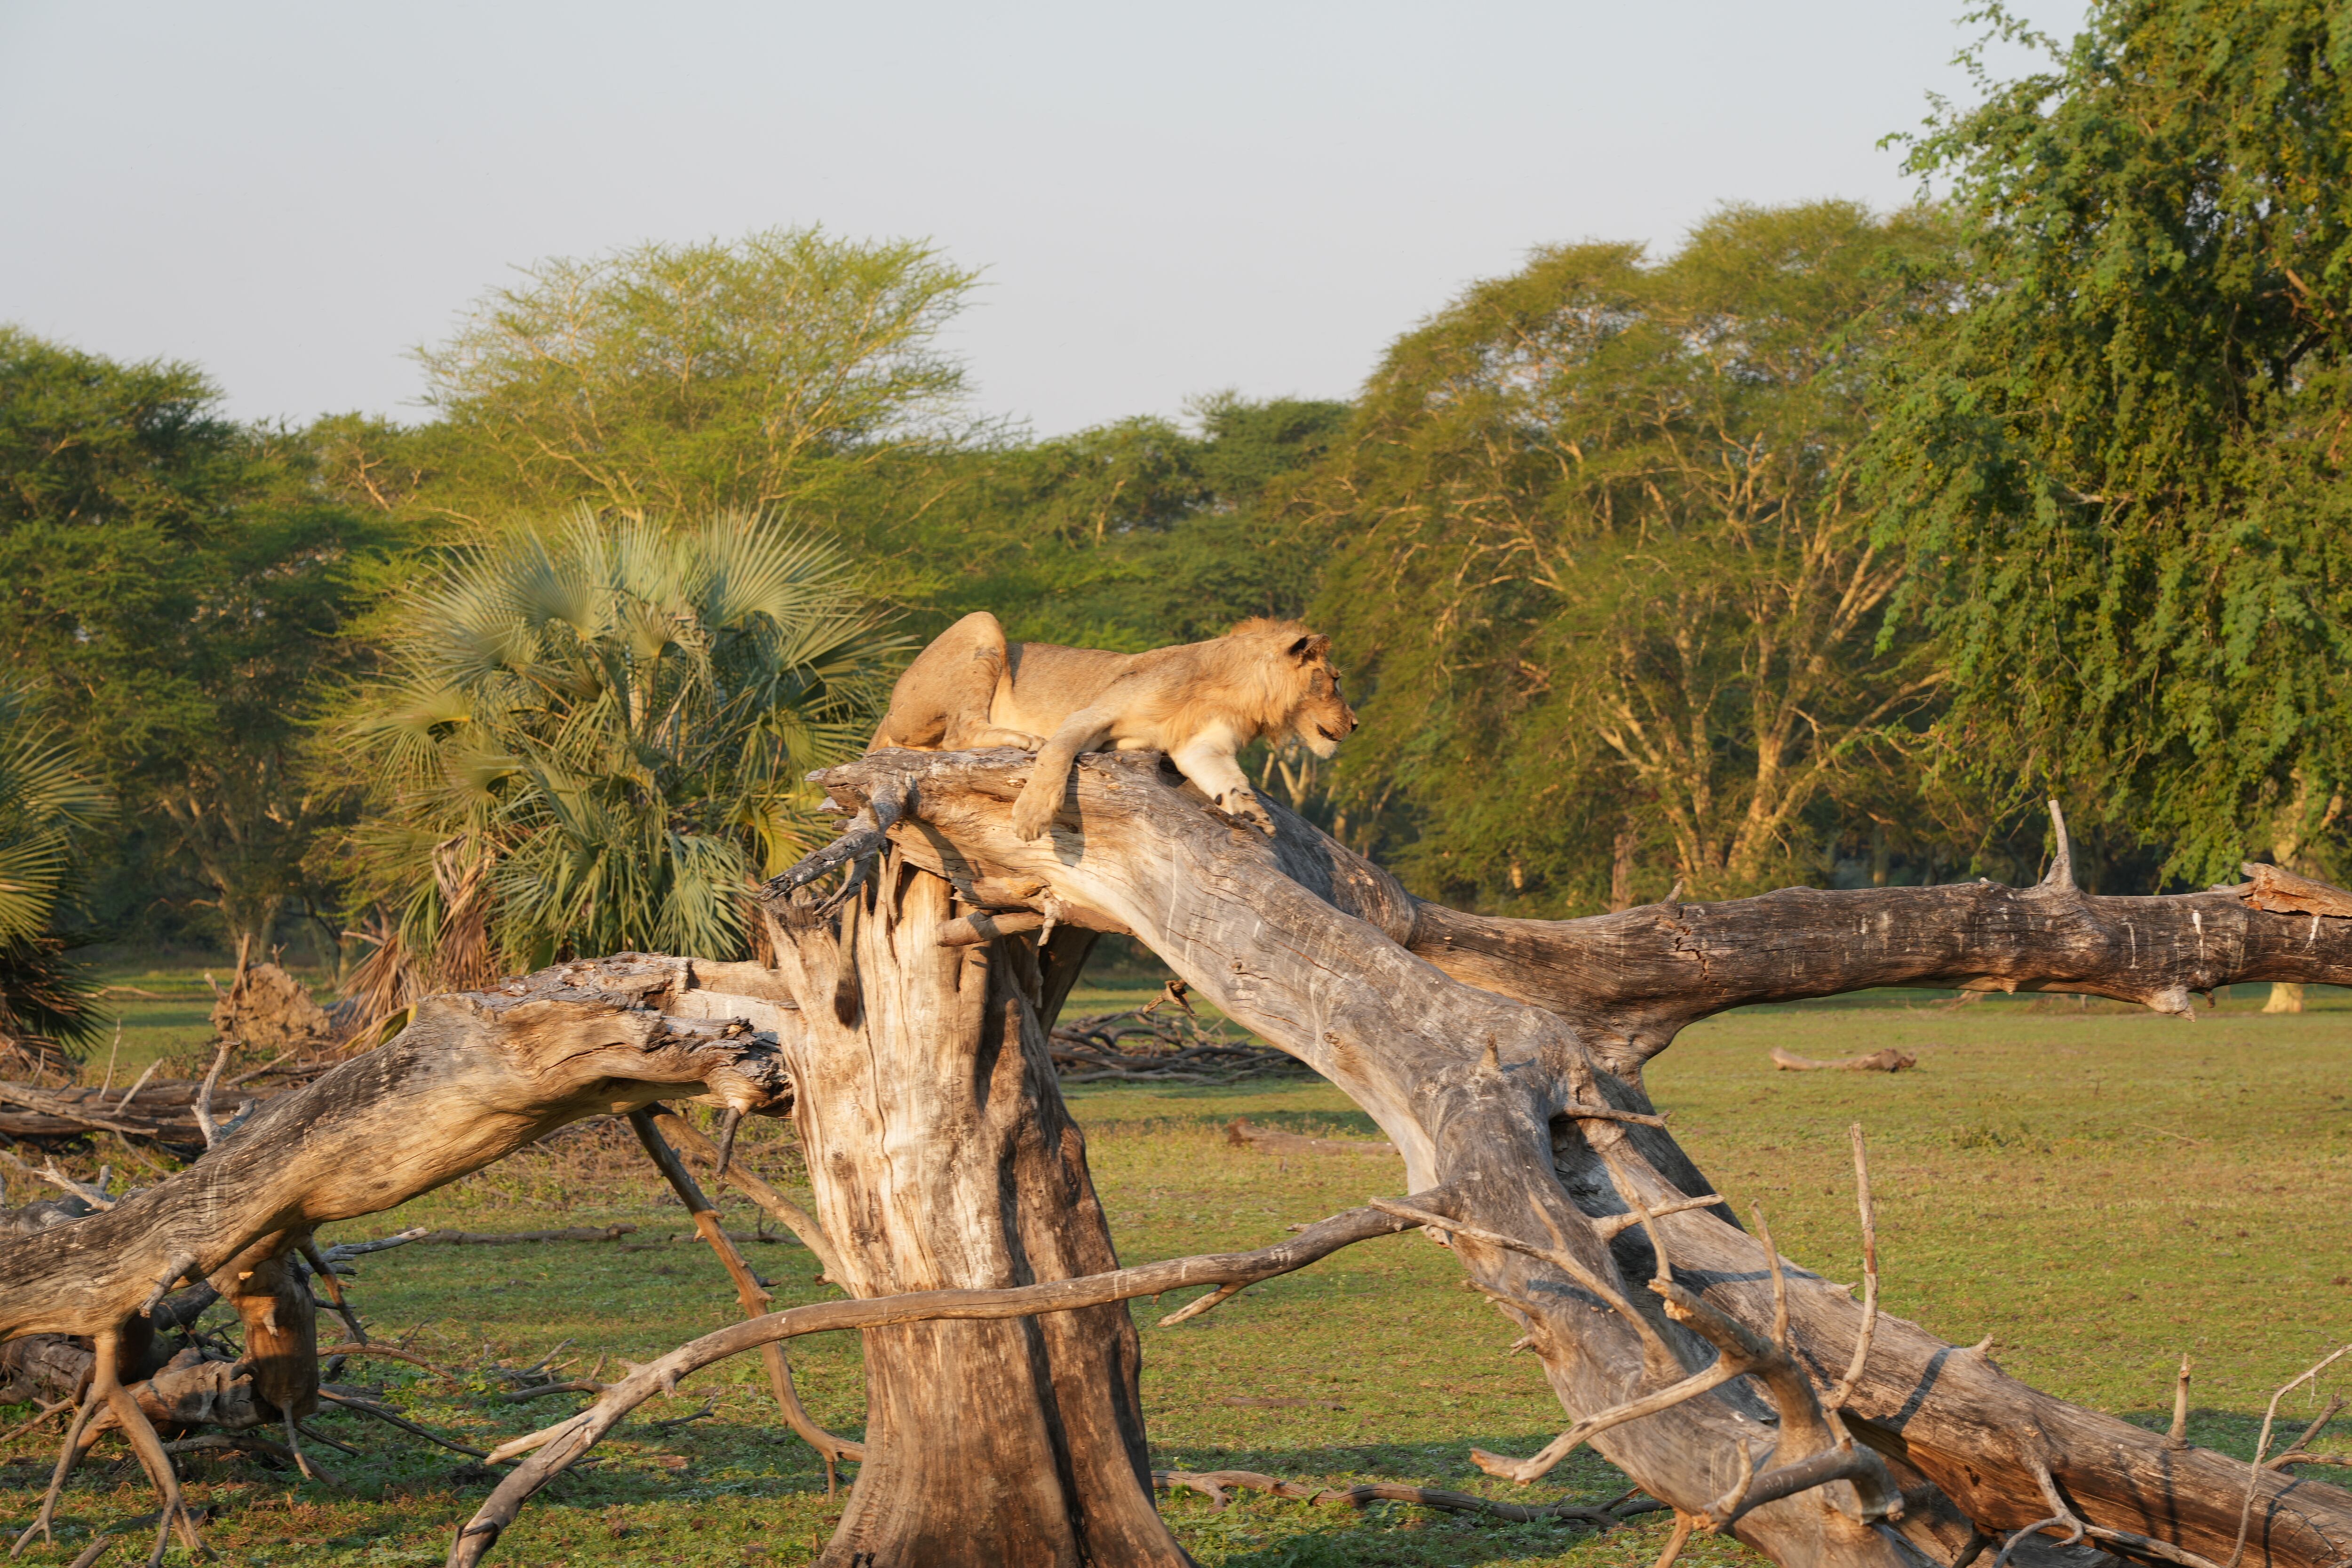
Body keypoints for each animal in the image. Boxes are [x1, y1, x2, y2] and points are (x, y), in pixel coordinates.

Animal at [875, 611, 1364, 841]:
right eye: (1337, 680)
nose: (1357, 723)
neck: (1235, 691)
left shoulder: (1201, 746)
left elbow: (1230, 782)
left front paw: (1252, 813)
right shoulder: (1088, 716)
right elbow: (1057, 755)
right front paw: (1033, 815)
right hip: (982, 624)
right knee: (960, 733)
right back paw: (1024, 738)